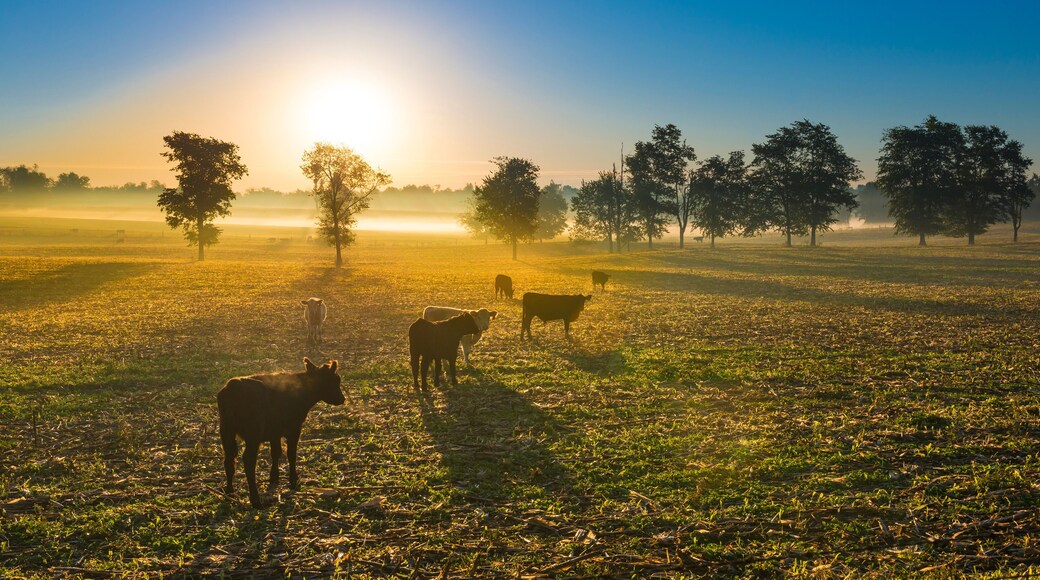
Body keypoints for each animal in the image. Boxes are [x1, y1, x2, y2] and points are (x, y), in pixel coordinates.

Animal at [218, 358, 346, 509]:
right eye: (335, 380)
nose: (342, 399)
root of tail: (232, 387)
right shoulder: (294, 428)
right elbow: (291, 454)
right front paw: (293, 480)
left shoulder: (275, 431)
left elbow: (276, 452)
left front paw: (274, 477)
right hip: (253, 433)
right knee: (248, 460)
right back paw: (255, 499)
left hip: (226, 430)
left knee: (228, 459)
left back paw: (229, 492)